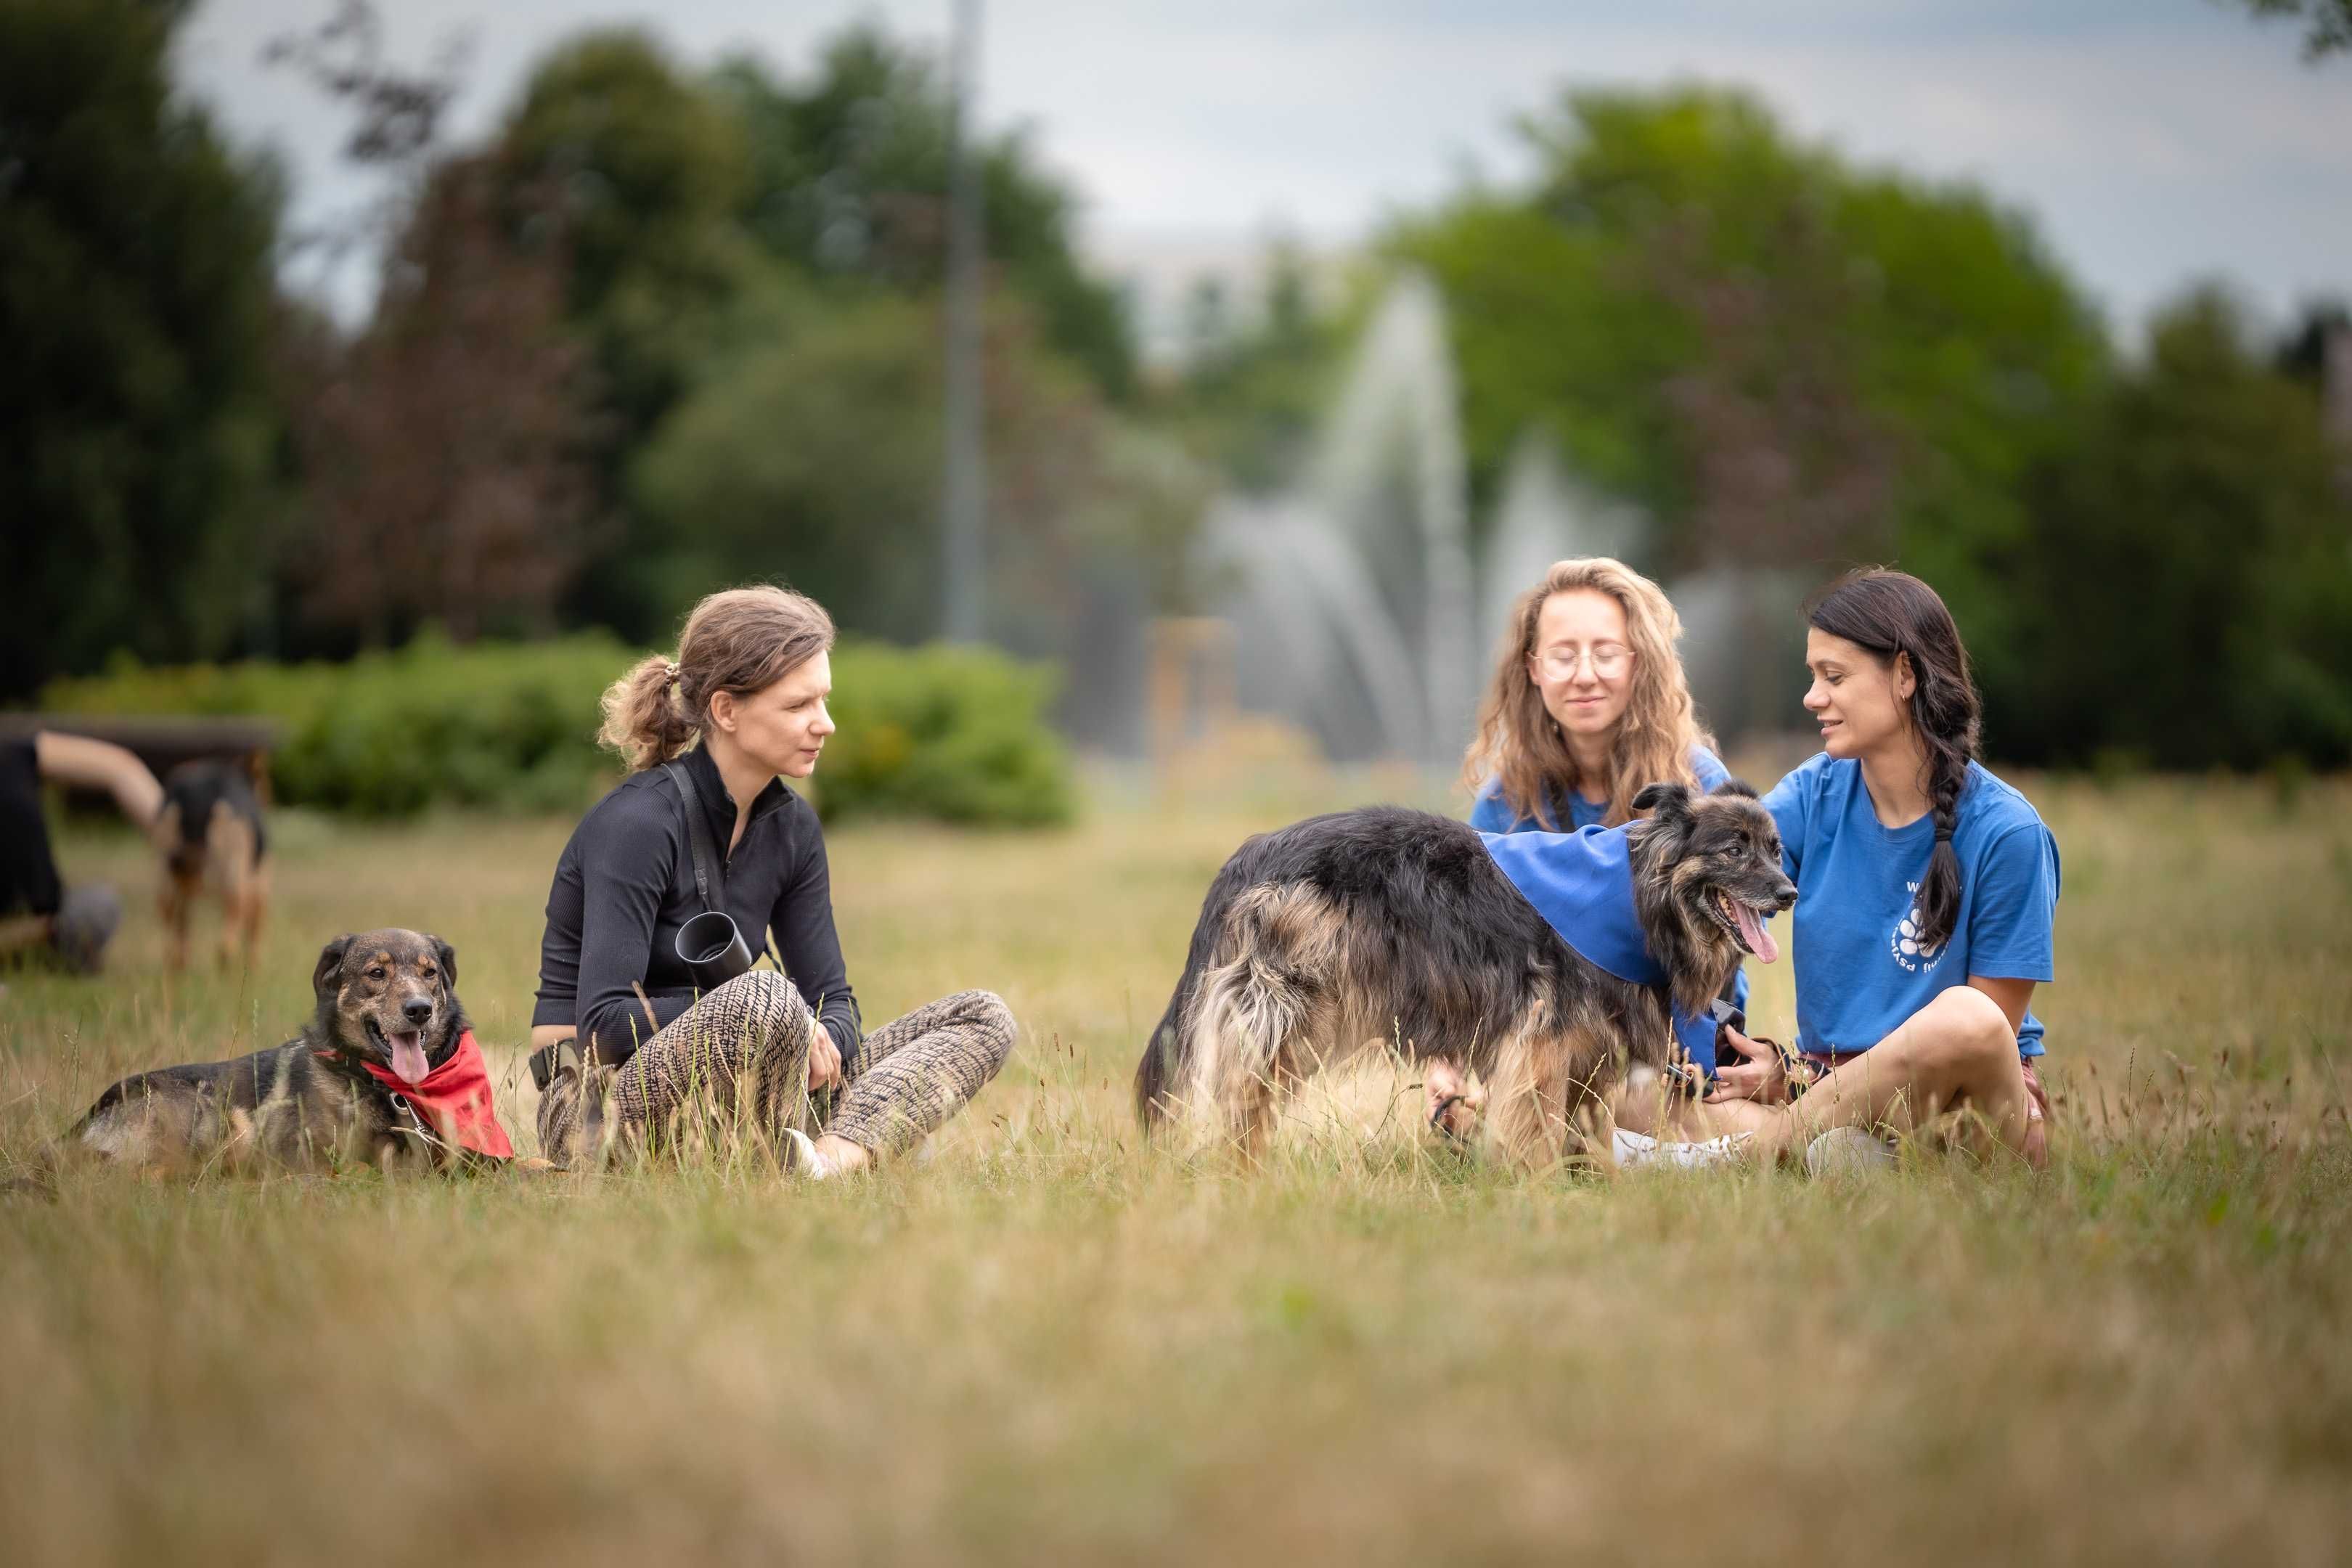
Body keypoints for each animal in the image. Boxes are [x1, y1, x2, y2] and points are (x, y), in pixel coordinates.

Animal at [150, 761, 268, 968]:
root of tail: (197, 798)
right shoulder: (261, 886)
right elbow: (254, 935)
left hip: (165, 882)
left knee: (174, 944)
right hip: (234, 883)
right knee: (226, 945)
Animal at [1138, 780, 1797, 1166]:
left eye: (1774, 848)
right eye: (1734, 849)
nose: (1789, 893)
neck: (1635, 898)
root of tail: (1249, 858)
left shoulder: (1586, 1053)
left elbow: (1584, 1126)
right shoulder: (1540, 1045)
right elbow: (1537, 1126)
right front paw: (1542, 1187)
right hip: (1289, 1014)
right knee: (1242, 1098)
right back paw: (1243, 1168)